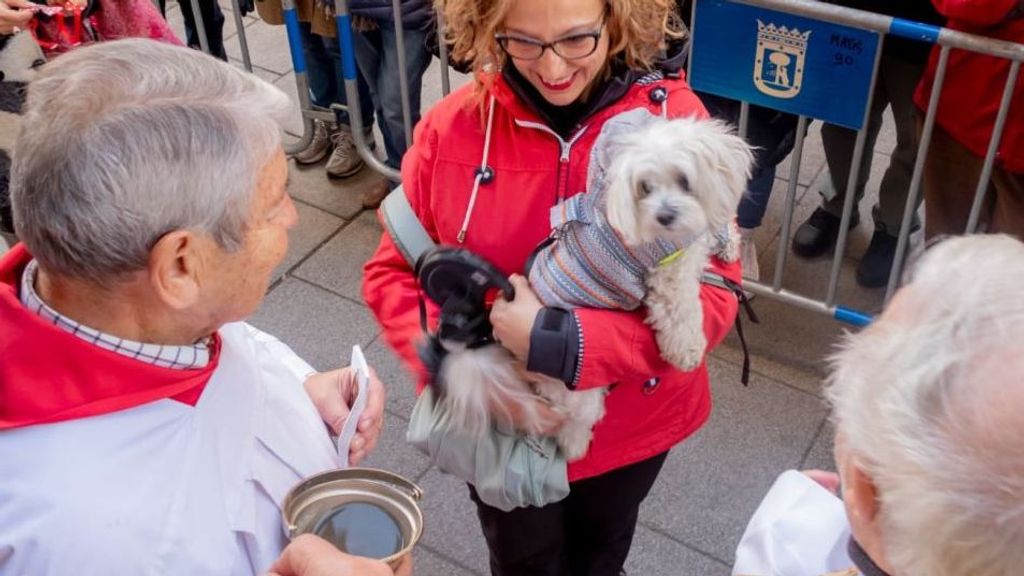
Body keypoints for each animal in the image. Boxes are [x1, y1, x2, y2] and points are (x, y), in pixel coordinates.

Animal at [438, 109, 753, 459]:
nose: (664, 217)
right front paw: (688, 351)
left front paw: (728, 242)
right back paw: (574, 446)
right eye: (645, 187)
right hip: (579, 393)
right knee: (570, 421)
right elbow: (681, 314)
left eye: (684, 180)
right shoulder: (667, 274)